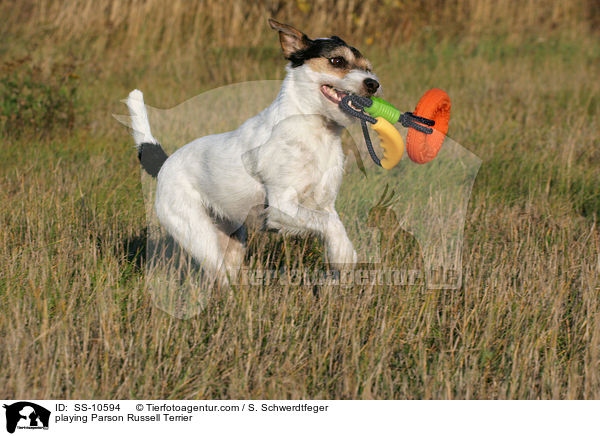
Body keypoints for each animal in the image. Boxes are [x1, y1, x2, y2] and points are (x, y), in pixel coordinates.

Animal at [126, 18, 380, 286]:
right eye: (337, 61)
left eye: (368, 68)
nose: (373, 84)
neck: (317, 131)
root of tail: (165, 164)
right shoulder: (281, 207)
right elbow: (330, 225)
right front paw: (344, 256)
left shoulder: (324, 204)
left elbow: (334, 223)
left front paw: (342, 258)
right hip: (199, 235)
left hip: (233, 239)